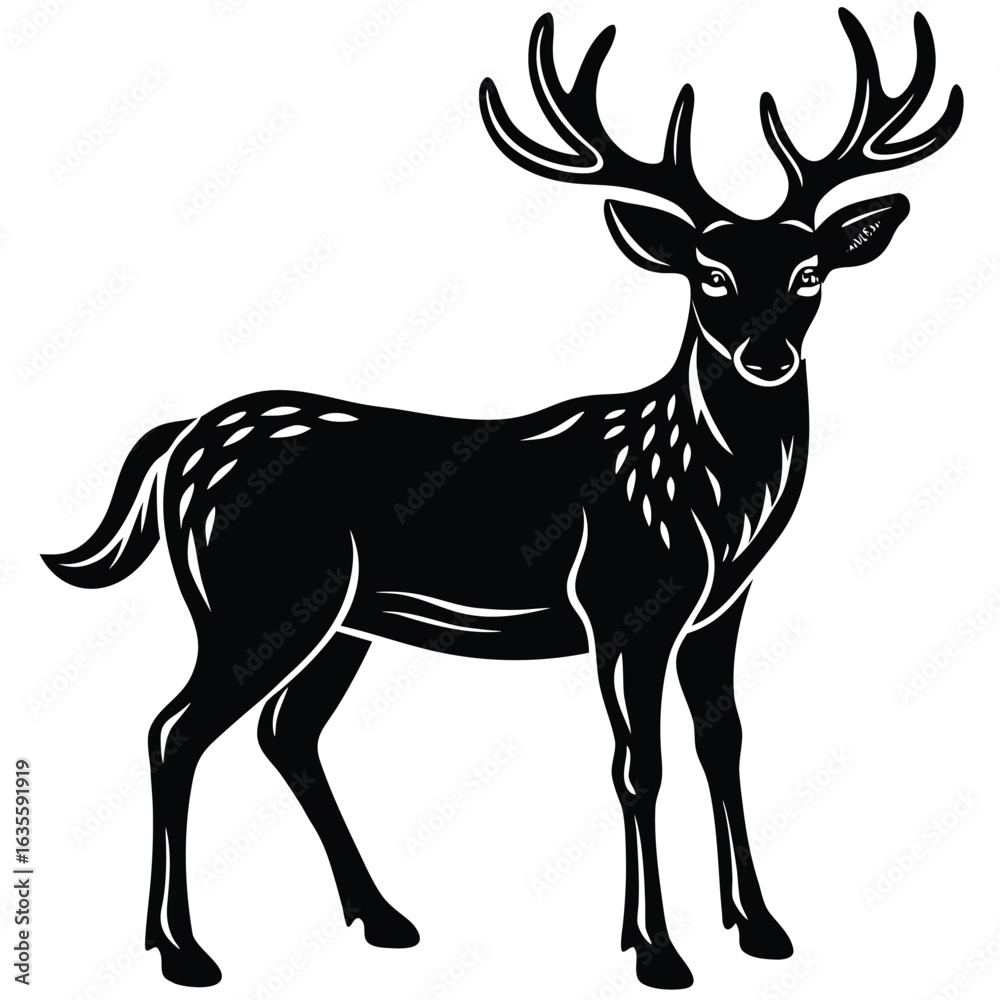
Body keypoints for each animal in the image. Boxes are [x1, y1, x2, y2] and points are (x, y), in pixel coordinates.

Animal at [42, 7, 961, 990]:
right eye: (710, 275)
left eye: (810, 273)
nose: (767, 354)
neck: (703, 501)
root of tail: (181, 444)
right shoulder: (624, 602)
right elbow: (639, 765)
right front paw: (657, 950)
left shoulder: (721, 609)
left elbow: (726, 746)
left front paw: (760, 927)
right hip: (253, 595)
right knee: (173, 728)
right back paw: (183, 950)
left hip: (340, 618)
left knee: (286, 732)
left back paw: (381, 917)